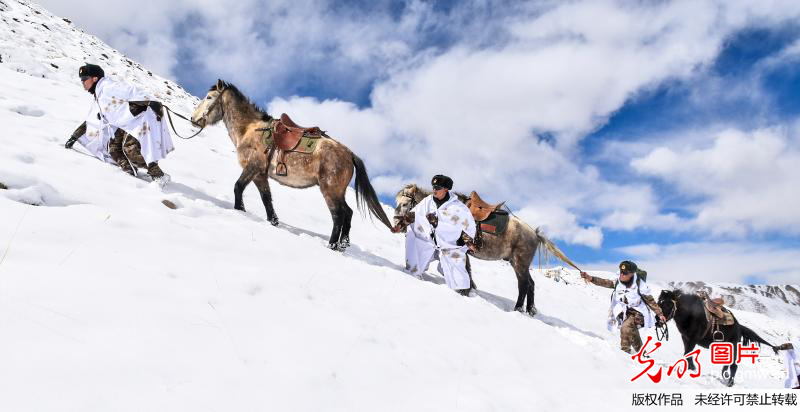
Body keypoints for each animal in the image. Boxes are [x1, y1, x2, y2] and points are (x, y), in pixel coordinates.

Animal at [194, 79, 394, 249]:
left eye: (209, 97)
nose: (194, 119)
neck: (250, 129)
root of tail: (350, 154)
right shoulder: (260, 174)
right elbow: (266, 198)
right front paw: (273, 221)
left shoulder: (252, 168)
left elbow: (238, 187)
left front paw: (239, 210)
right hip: (338, 191)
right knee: (349, 213)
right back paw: (343, 245)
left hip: (330, 190)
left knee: (338, 215)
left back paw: (331, 245)